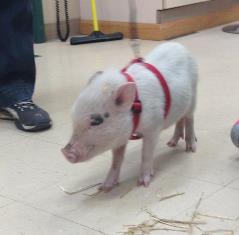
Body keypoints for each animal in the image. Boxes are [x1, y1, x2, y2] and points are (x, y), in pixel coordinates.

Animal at [62, 42, 198, 192]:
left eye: (97, 121)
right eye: (73, 117)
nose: (65, 152)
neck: (136, 106)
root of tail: (179, 45)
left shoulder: (154, 127)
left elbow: (146, 154)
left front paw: (142, 184)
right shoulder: (120, 138)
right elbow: (116, 160)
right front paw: (104, 187)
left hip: (194, 94)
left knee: (190, 119)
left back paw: (190, 149)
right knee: (180, 119)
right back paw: (171, 143)